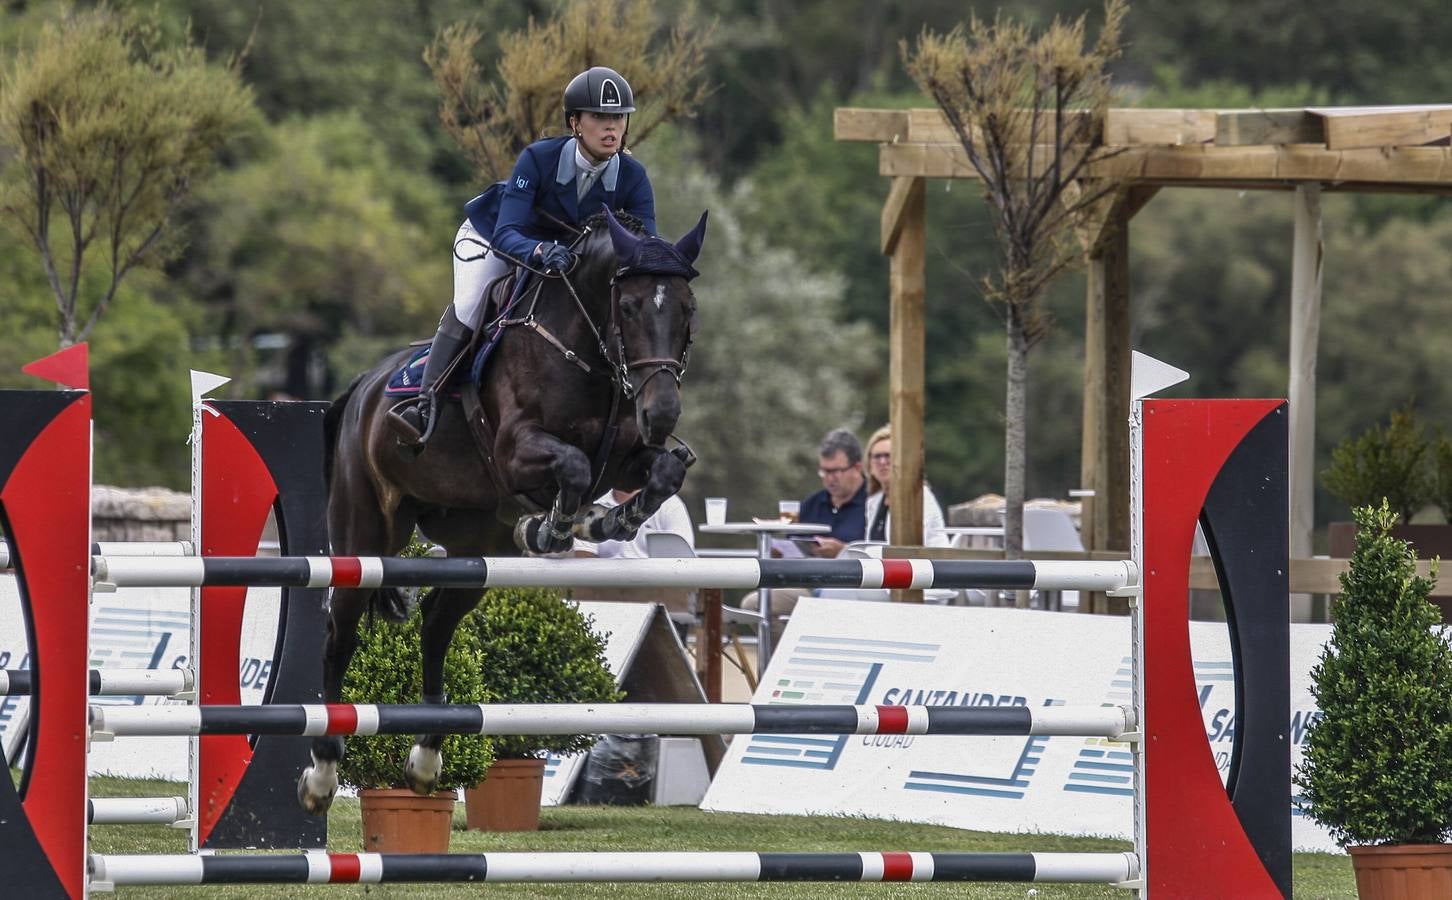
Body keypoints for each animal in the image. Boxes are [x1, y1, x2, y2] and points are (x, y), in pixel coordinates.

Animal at [297, 207, 705, 812]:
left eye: (686, 308)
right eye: (629, 306)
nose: (662, 413)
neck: (589, 354)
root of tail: (361, 390)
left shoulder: (626, 459)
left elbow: (661, 474)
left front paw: (609, 519)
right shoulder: (518, 450)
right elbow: (574, 469)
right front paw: (554, 527)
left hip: (474, 542)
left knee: (436, 621)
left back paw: (426, 758)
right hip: (365, 531)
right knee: (341, 630)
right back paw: (322, 773)